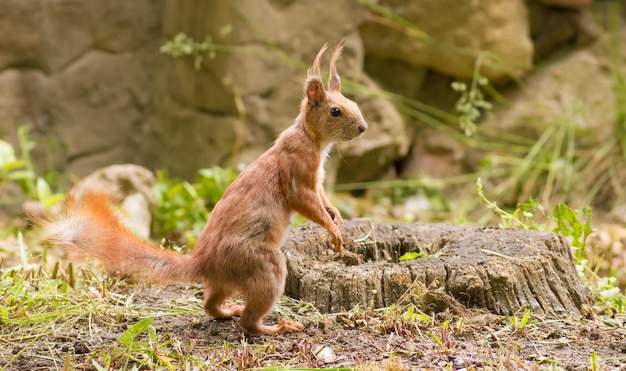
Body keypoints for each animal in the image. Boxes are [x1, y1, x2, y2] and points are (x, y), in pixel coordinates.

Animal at [37, 42, 366, 336]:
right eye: (336, 111)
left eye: (355, 105)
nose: (363, 127)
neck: (312, 139)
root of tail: (206, 263)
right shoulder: (297, 175)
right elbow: (309, 205)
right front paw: (334, 233)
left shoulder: (317, 182)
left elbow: (323, 200)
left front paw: (336, 216)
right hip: (266, 266)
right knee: (248, 323)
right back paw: (277, 327)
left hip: (231, 281)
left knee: (210, 304)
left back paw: (227, 311)